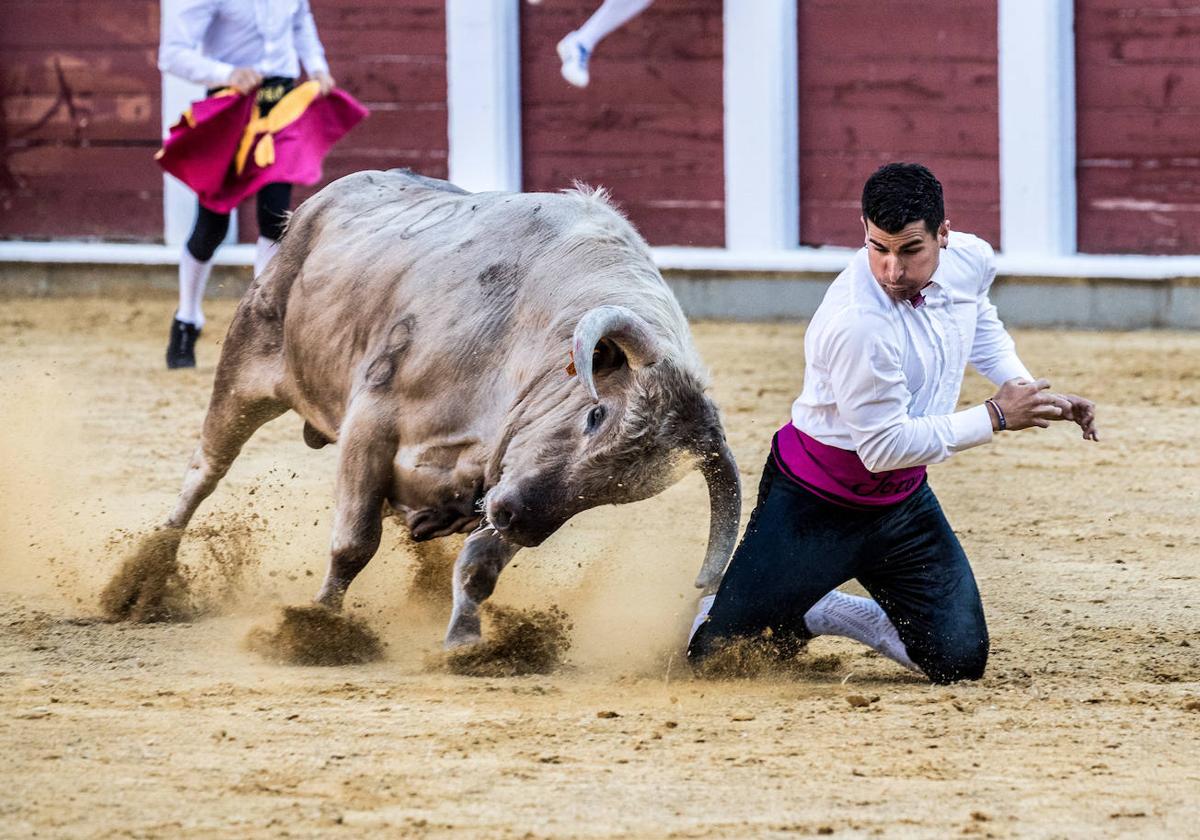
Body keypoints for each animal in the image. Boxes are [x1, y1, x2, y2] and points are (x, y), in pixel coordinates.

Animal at [129, 169, 739, 643]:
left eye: (619, 491)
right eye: (595, 415)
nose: (516, 520)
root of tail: (319, 203)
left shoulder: (503, 481)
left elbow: (479, 567)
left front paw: (465, 642)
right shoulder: (372, 423)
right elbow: (353, 543)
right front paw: (316, 628)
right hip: (246, 364)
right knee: (205, 471)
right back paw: (142, 582)